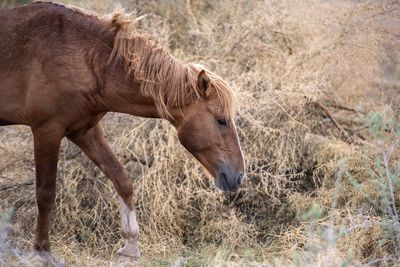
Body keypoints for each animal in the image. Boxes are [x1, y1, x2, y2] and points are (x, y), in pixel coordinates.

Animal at [0, 1, 244, 262]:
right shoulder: (47, 130)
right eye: (221, 121)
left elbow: (122, 179)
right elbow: (45, 195)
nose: (239, 176)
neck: (84, 56)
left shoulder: (84, 131)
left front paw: (130, 246)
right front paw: (42, 252)